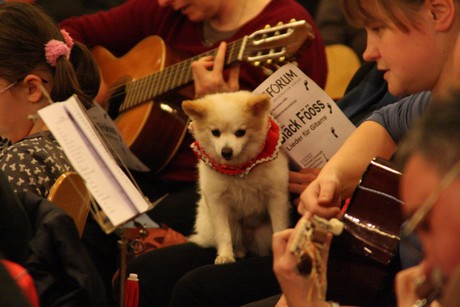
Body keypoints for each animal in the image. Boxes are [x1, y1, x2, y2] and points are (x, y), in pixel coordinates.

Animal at [181, 91, 290, 264]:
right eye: (215, 132)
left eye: (240, 132)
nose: (226, 152)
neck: (240, 169)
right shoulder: (217, 202)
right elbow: (223, 233)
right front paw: (225, 255)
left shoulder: (276, 197)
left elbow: (279, 227)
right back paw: (238, 251)